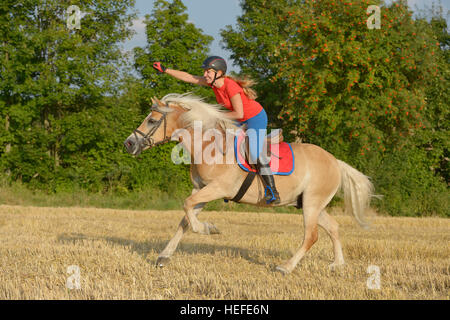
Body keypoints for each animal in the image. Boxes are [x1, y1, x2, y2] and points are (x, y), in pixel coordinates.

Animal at [123, 93, 372, 276]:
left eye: (152, 120)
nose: (129, 144)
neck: (207, 146)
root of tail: (335, 161)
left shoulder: (217, 189)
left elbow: (187, 208)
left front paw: (208, 229)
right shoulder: (202, 189)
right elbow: (185, 219)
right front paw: (164, 256)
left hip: (311, 203)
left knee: (311, 236)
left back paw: (286, 267)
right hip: (310, 204)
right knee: (333, 228)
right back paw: (337, 265)